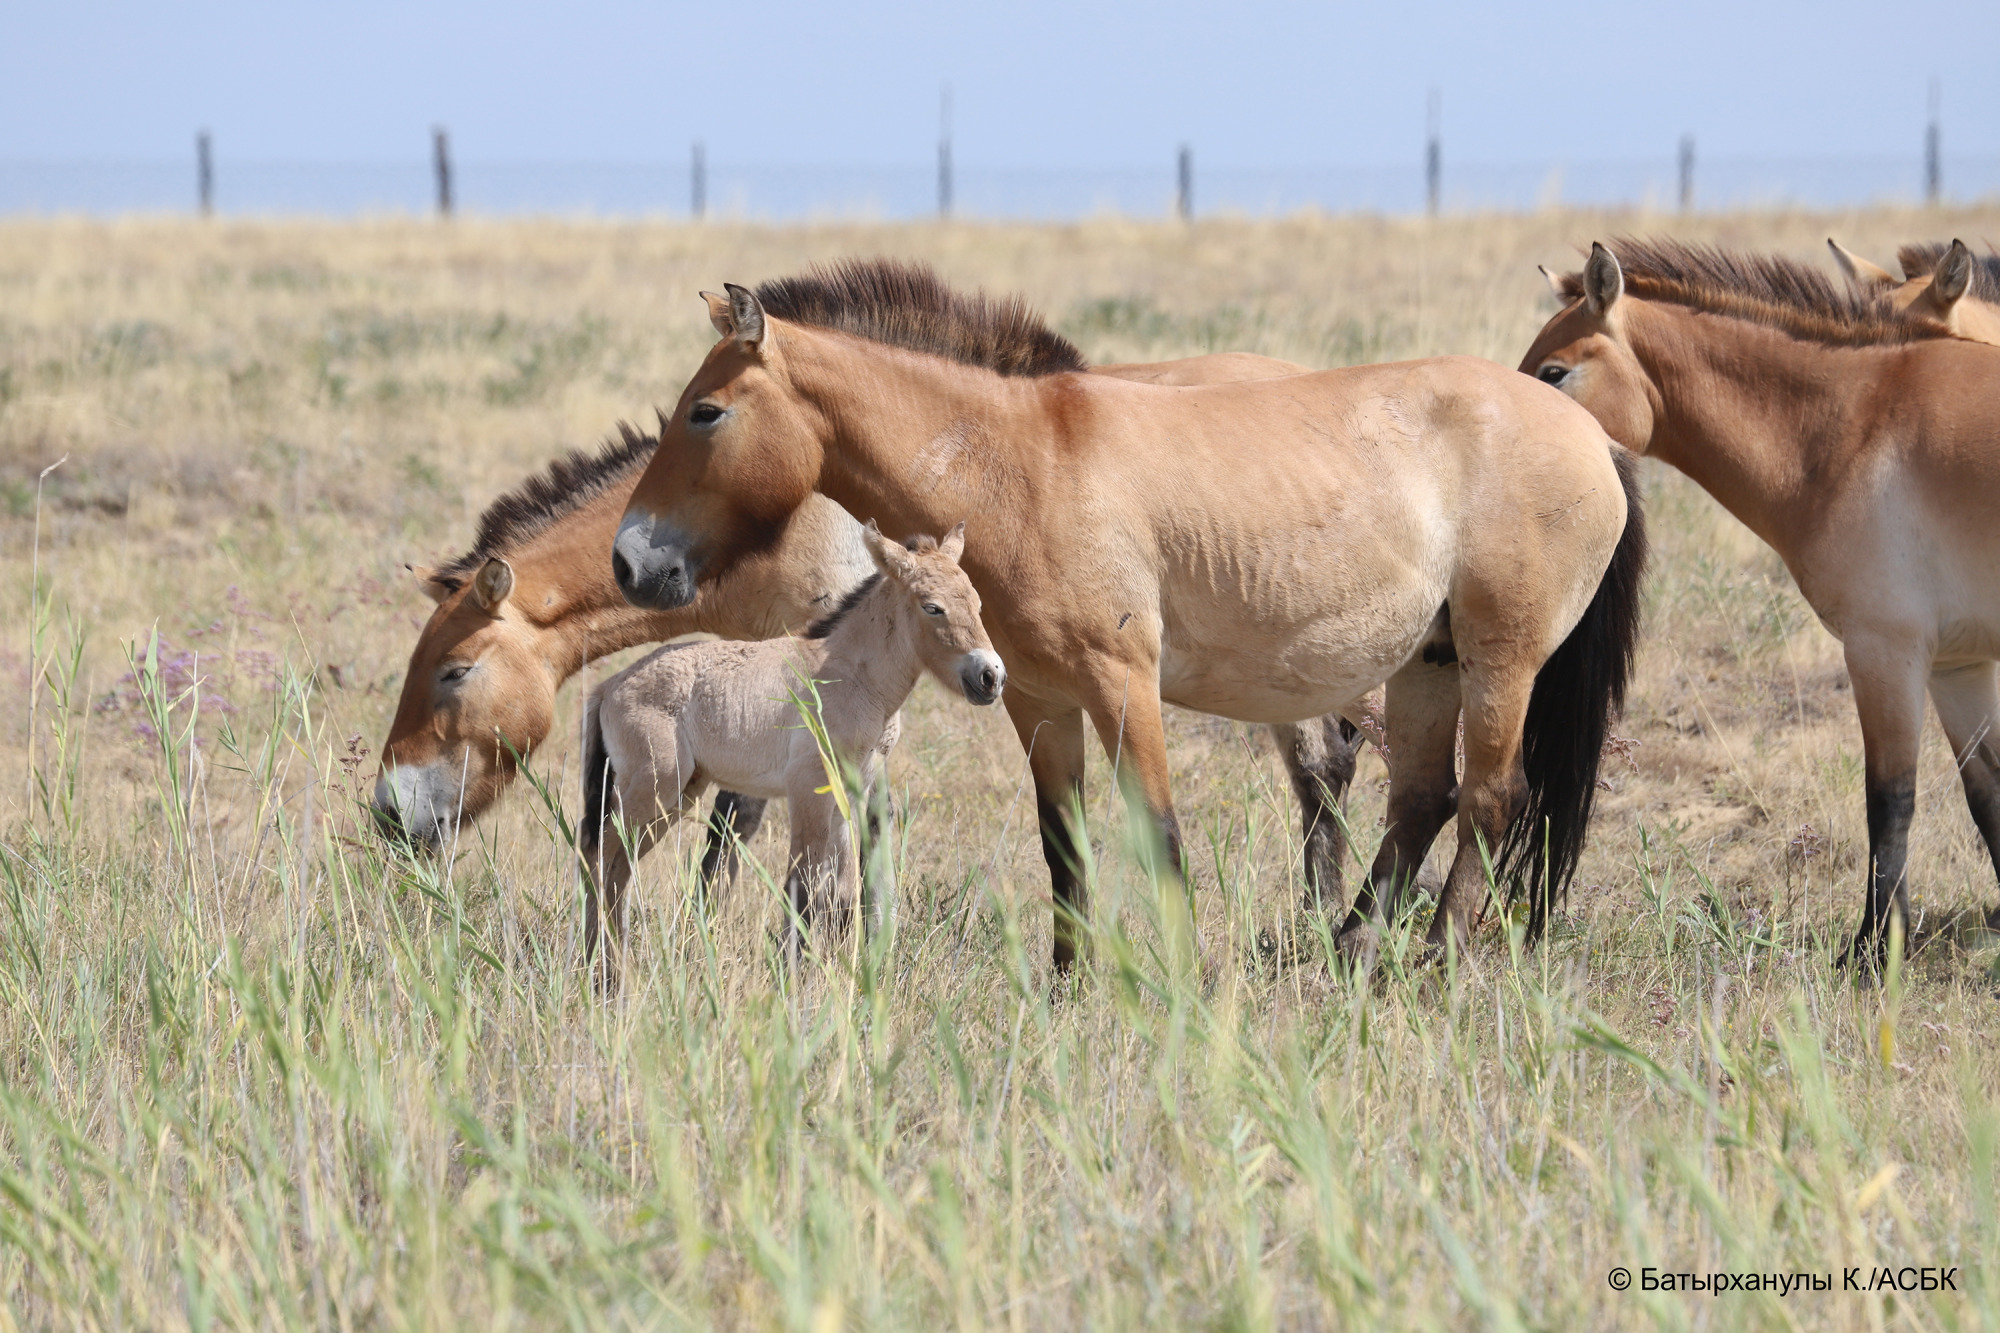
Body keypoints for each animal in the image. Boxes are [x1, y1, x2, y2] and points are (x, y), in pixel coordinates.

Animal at [582, 522, 1002, 968]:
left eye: (978, 602)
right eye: (932, 607)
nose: (991, 676)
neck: (850, 677)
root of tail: (608, 687)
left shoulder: (849, 791)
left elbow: (842, 891)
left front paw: (843, 975)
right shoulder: (809, 787)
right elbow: (804, 886)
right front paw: (795, 977)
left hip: (678, 794)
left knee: (613, 863)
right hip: (654, 787)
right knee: (604, 857)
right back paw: (605, 970)